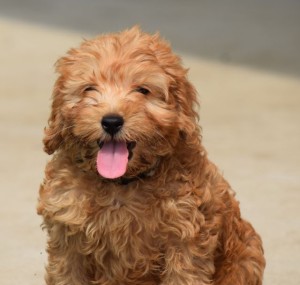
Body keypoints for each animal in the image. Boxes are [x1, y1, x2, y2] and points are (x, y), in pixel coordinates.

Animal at [37, 27, 264, 284]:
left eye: (143, 90)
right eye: (89, 89)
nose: (111, 121)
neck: (120, 185)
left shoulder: (184, 238)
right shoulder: (68, 233)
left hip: (245, 260)